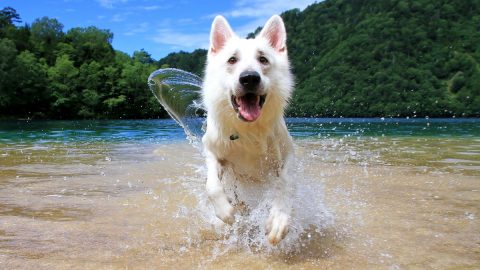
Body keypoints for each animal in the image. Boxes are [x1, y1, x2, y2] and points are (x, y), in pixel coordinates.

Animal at [202, 15, 294, 246]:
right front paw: (225, 212)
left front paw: (279, 218)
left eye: (263, 59)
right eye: (232, 60)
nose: (250, 78)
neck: (249, 129)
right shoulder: (211, 150)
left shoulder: (287, 154)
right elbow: (212, 185)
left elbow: (285, 183)